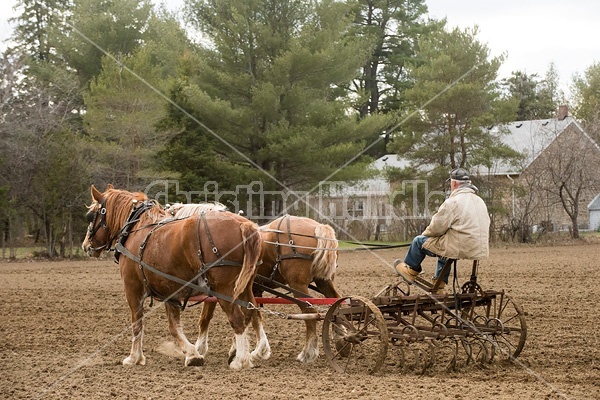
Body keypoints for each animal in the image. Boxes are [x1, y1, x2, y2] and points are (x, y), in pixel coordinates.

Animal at [81, 186, 264, 370]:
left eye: (91, 215)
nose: (86, 246)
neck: (136, 229)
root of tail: (244, 224)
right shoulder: (169, 290)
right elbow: (174, 327)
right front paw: (192, 354)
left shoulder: (133, 288)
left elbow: (137, 323)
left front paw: (134, 358)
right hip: (245, 287)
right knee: (251, 311)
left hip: (224, 289)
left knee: (237, 319)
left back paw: (240, 360)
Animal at [171, 205, 342, 364]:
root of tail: (319, 227)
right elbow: (253, 316)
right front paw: (248, 350)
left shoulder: (216, 289)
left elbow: (206, 318)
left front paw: (200, 349)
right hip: (323, 281)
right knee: (336, 304)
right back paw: (341, 339)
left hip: (298, 285)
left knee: (309, 312)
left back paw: (308, 353)